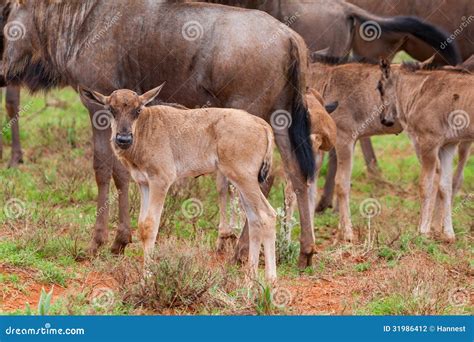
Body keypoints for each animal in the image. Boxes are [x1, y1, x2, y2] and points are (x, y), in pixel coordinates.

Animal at [78, 85, 278, 280]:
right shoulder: (144, 184)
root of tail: (262, 125)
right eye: (111, 109)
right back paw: (250, 280)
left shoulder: (160, 181)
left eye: (137, 110)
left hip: (245, 180)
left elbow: (150, 225)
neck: (146, 127)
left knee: (267, 215)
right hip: (242, 183)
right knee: (255, 220)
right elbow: (142, 225)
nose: (123, 139)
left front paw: (147, 277)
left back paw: (270, 280)